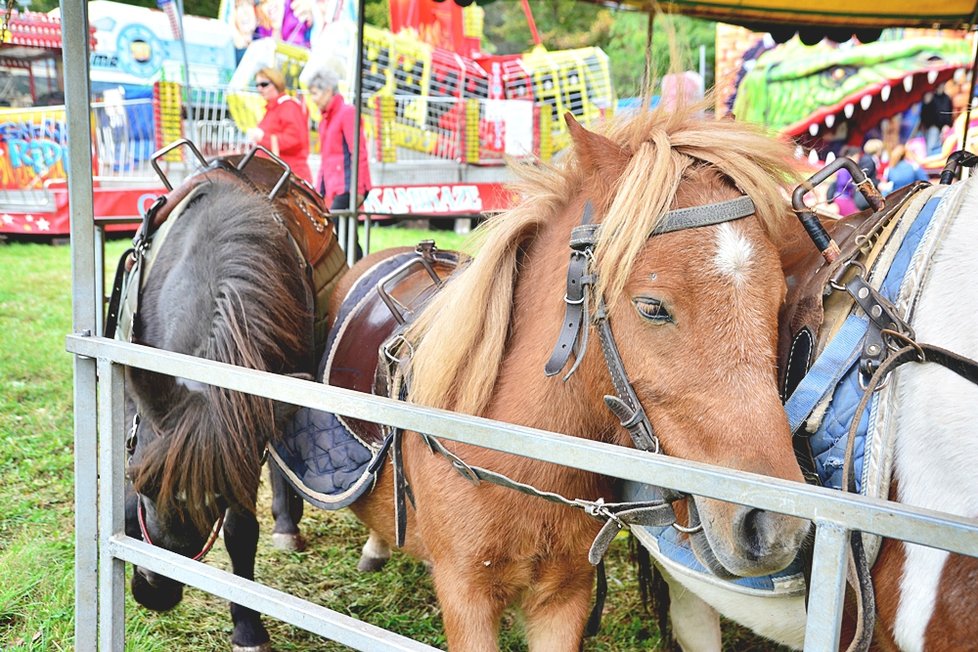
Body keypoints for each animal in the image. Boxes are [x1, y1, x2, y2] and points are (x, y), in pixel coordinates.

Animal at [332, 104, 812, 648]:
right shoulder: (465, 596)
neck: (512, 452)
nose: (773, 525)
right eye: (651, 307)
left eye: (779, 300)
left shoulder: (565, 596)